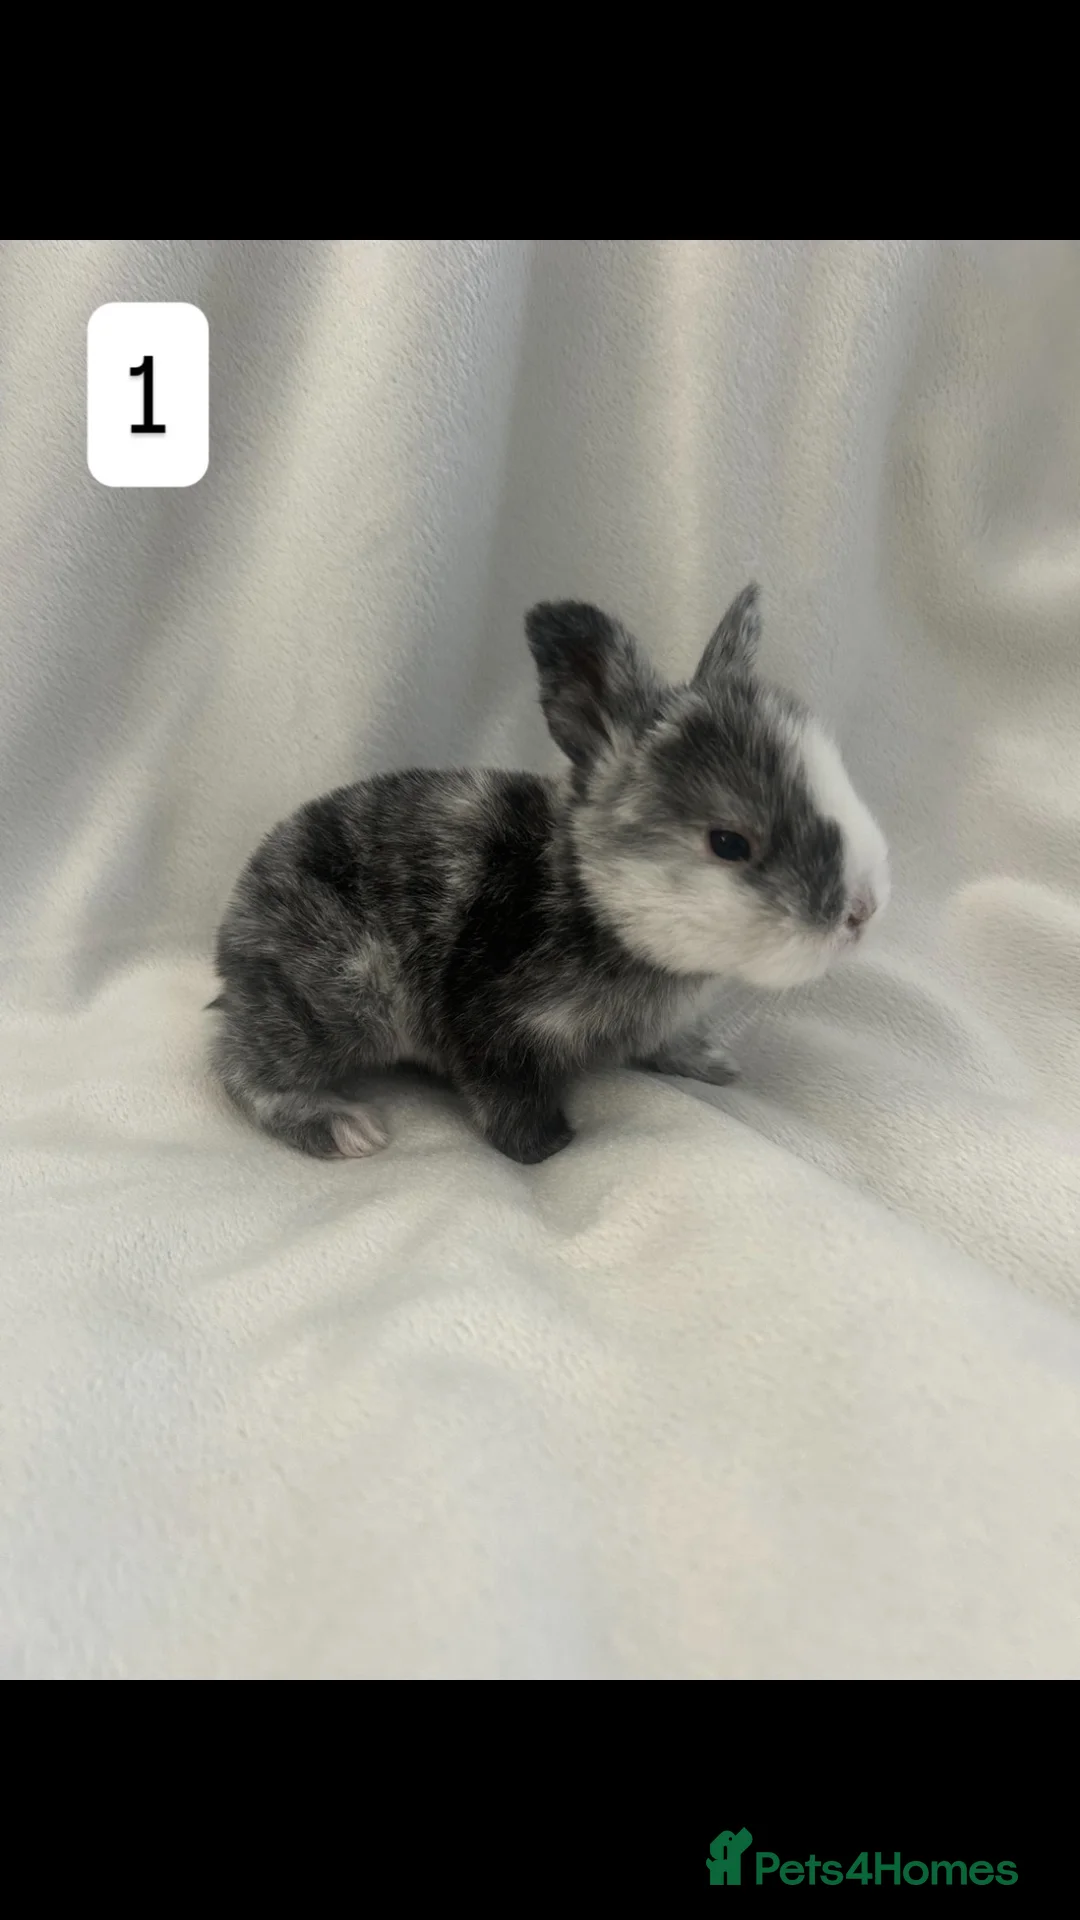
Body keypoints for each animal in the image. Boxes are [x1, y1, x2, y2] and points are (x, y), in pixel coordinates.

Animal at [208, 585, 889, 1164]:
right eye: (729, 843)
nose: (863, 912)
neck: (594, 899)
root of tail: (235, 932)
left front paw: (709, 1061)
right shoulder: (492, 1028)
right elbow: (507, 1099)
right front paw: (549, 1146)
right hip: (342, 1000)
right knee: (238, 1067)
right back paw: (339, 1124)